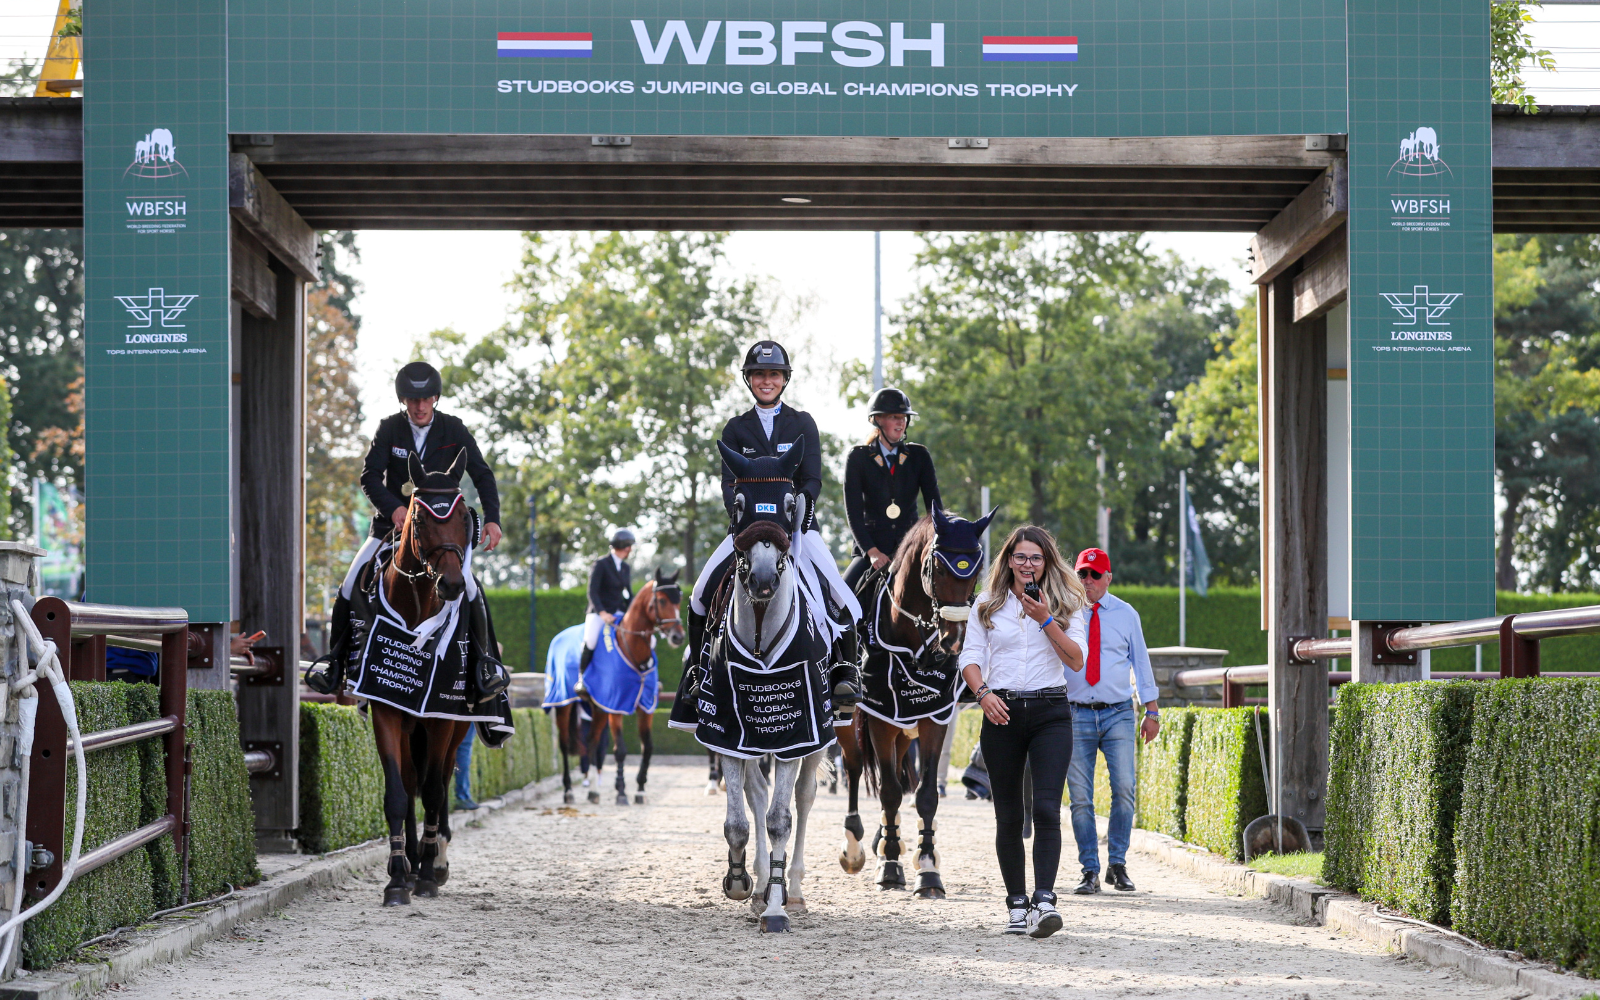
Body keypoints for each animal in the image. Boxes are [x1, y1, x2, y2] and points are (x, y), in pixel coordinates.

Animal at [579, 569, 684, 803]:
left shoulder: (646, 707)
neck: (633, 650)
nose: (678, 637)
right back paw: (592, 790)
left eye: (679, 600)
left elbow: (648, 747)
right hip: (600, 706)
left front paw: (640, 789)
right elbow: (620, 750)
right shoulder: (615, 705)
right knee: (591, 741)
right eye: (661, 600)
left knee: (592, 740)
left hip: (600, 709)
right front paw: (620, 791)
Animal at [844, 502, 992, 902]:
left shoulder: (933, 719)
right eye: (936, 568)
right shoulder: (880, 720)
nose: (955, 641)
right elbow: (890, 792)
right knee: (854, 769)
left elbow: (924, 794)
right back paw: (857, 847)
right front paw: (891, 869)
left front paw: (927, 870)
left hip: (903, 732)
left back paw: (886, 842)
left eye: (976, 569)